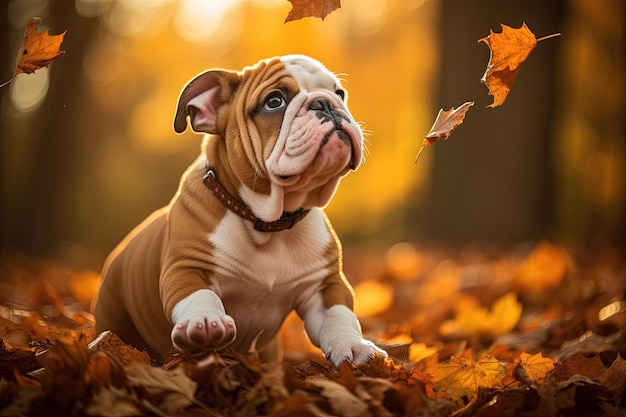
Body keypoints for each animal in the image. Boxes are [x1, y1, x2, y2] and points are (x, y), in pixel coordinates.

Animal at [92, 55, 386, 368]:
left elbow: (339, 314)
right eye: (274, 101)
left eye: (339, 93)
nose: (325, 103)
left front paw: (353, 345)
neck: (267, 223)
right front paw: (204, 322)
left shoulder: (325, 284)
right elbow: (198, 295)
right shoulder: (186, 267)